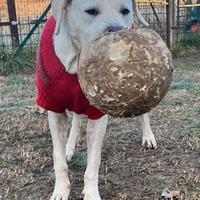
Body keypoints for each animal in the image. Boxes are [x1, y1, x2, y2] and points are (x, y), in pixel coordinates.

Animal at [35, 0, 156, 199]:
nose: (116, 31)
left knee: (142, 111)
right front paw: (60, 190)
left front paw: (91, 193)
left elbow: (93, 162)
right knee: (76, 119)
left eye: (125, 11)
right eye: (91, 11)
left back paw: (148, 137)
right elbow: (58, 160)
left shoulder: (98, 115)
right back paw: (70, 146)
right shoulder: (55, 110)